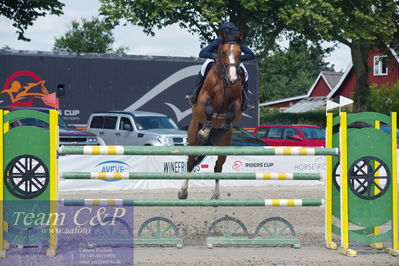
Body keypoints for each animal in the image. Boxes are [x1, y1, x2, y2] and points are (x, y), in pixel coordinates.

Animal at [180, 31, 245, 200]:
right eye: (222, 52)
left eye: (239, 53)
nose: (233, 78)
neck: (224, 80)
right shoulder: (204, 98)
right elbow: (209, 109)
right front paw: (205, 130)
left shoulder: (237, 102)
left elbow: (232, 112)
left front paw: (224, 126)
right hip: (193, 141)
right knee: (190, 163)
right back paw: (183, 192)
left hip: (224, 147)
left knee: (218, 167)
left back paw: (216, 195)